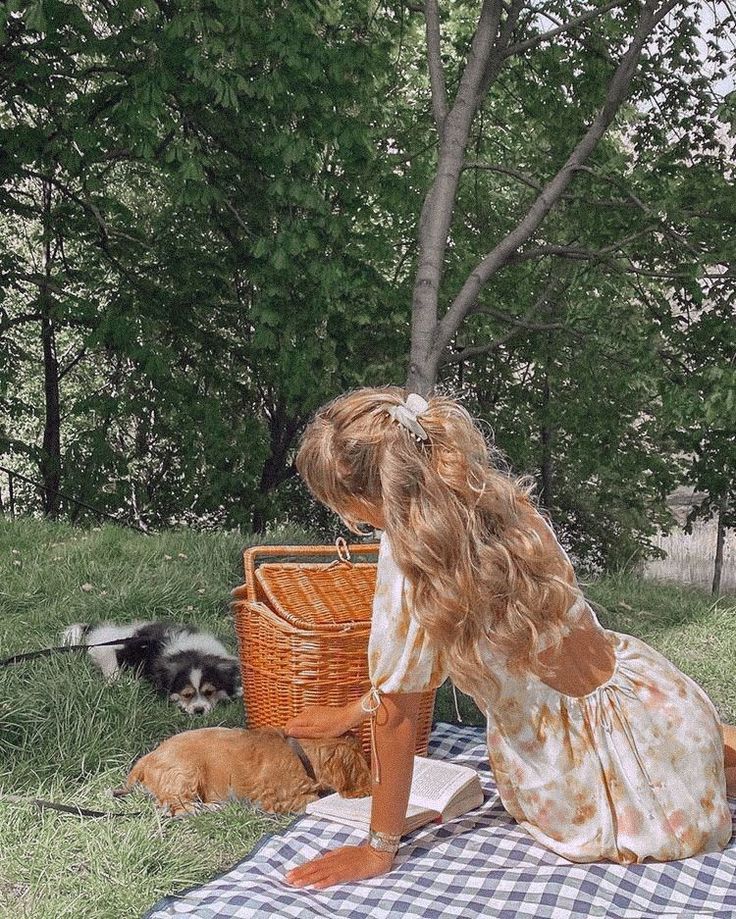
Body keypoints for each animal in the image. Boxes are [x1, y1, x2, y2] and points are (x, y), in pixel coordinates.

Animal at [114, 728, 374, 816]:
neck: (302, 755)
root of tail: (145, 760)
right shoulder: (274, 799)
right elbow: (311, 798)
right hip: (185, 772)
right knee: (176, 807)